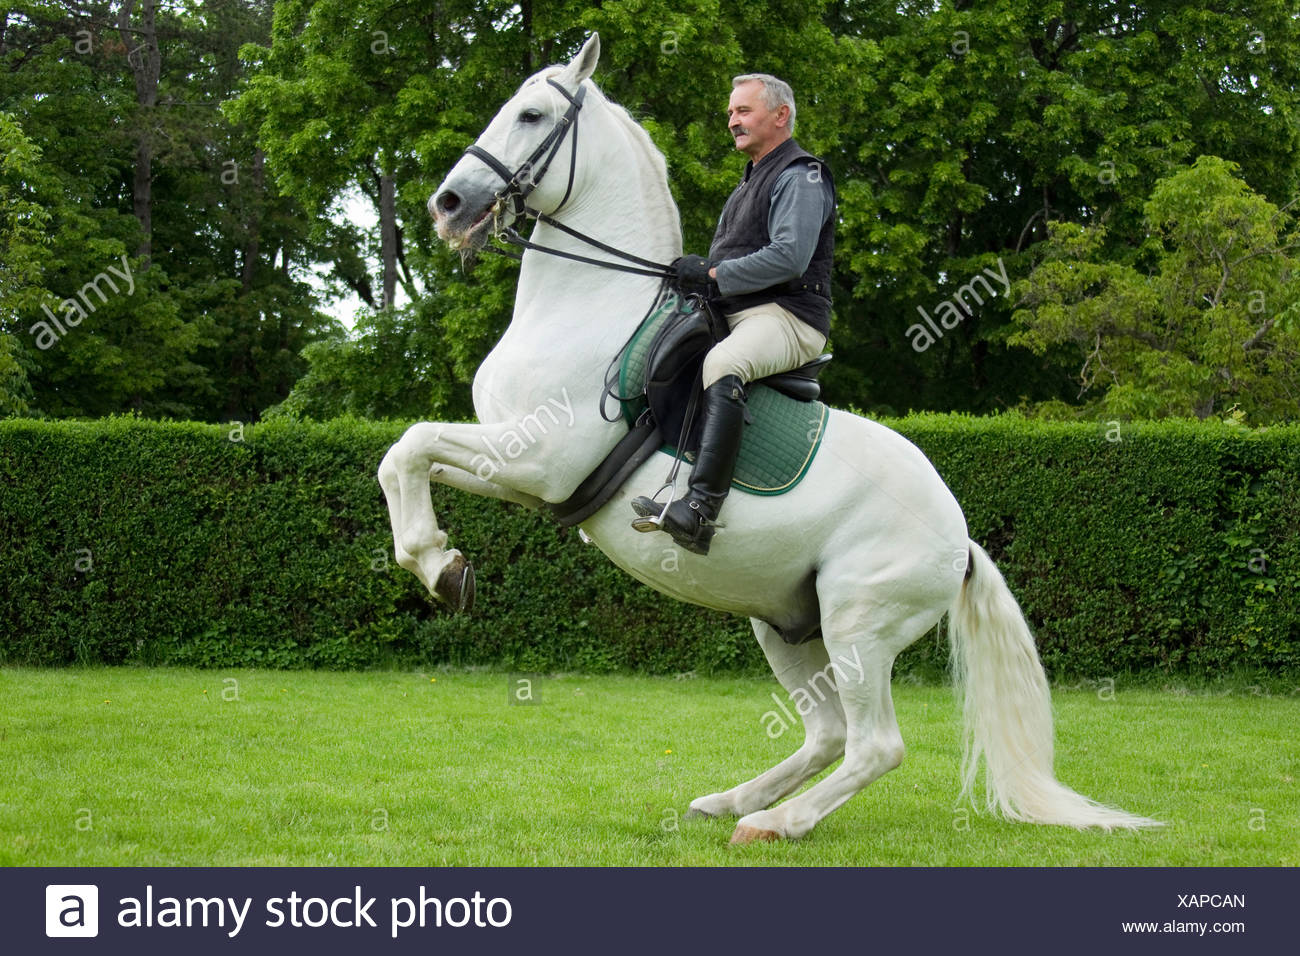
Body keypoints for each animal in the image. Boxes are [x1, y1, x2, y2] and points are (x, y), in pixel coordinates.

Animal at [379, 33, 1160, 843]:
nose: (447, 205)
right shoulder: (511, 463)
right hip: (785, 625)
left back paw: (775, 822)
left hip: (857, 624)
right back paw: (732, 801)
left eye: (531, 115)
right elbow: (402, 457)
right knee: (830, 734)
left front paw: (439, 567)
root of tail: (961, 539)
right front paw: (441, 564)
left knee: (875, 745)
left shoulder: (535, 461)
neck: (590, 309)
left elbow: (410, 446)